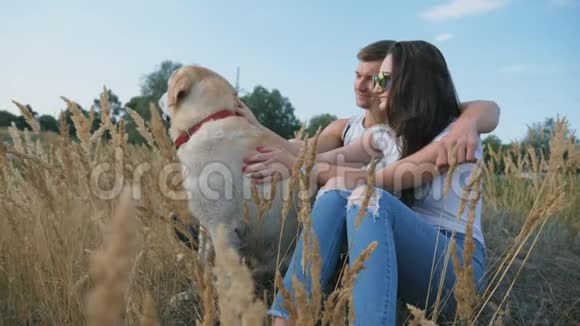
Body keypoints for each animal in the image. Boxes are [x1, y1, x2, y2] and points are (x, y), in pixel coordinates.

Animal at [163, 65, 300, 276]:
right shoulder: (207, 222)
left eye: (167, 83)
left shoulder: (223, 228)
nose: (161, 97)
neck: (206, 120)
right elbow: (203, 254)